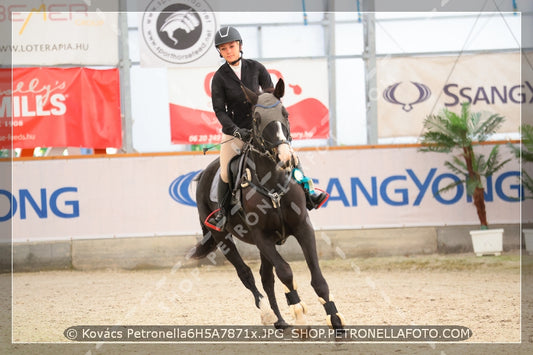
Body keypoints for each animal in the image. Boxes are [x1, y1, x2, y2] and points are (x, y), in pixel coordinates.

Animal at [187, 78, 344, 330]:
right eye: (257, 119)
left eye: (286, 113)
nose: (285, 157)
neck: (274, 185)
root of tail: (203, 175)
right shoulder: (261, 236)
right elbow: (285, 272)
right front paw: (298, 312)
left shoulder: (303, 228)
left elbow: (317, 278)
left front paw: (335, 319)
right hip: (223, 237)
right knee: (246, 274)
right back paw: (268, 313)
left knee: (265, 277)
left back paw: (280, 320)